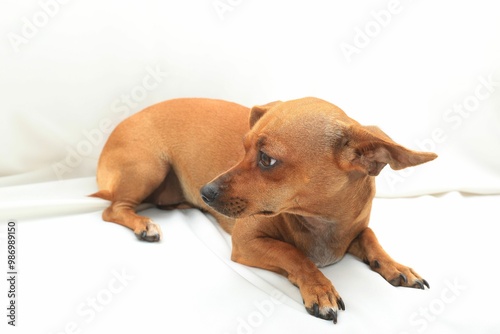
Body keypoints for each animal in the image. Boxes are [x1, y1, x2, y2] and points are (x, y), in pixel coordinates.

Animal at [93, 96, 438, 324]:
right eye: (243, 147)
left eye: (267, 159)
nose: (205, 192)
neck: (320, 221)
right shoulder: (247, 242)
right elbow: (293, 254)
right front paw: (319, 287)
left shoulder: (357, 228)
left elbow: (370, 238)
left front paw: (397, 267)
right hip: (148, 167)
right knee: (112, 210)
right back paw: (144, 224)